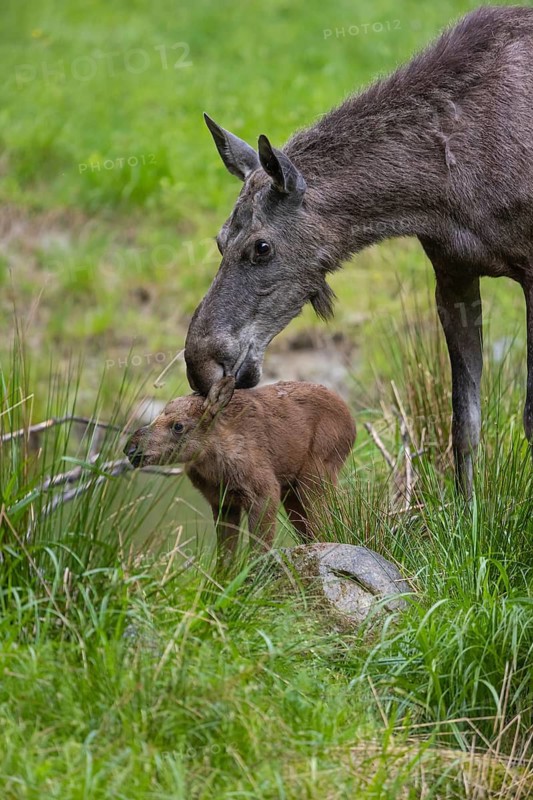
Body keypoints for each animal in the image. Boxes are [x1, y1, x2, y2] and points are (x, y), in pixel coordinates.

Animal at [124, 379, 356, 556]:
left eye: (178, 426)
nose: (131, 448)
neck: (216, 471)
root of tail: (352, 424)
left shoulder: (265, 491)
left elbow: (258, 550)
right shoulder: (222, 502)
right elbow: (226, 557)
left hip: (317, 474)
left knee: (329, 520)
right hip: (292, 491)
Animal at [183, 6, 533, 498]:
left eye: (262, 246)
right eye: (219, 240)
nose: (200, 364)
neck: (444, 193)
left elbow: (527, 417)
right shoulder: (452, 273)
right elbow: (464, 422)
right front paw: (470, 513)